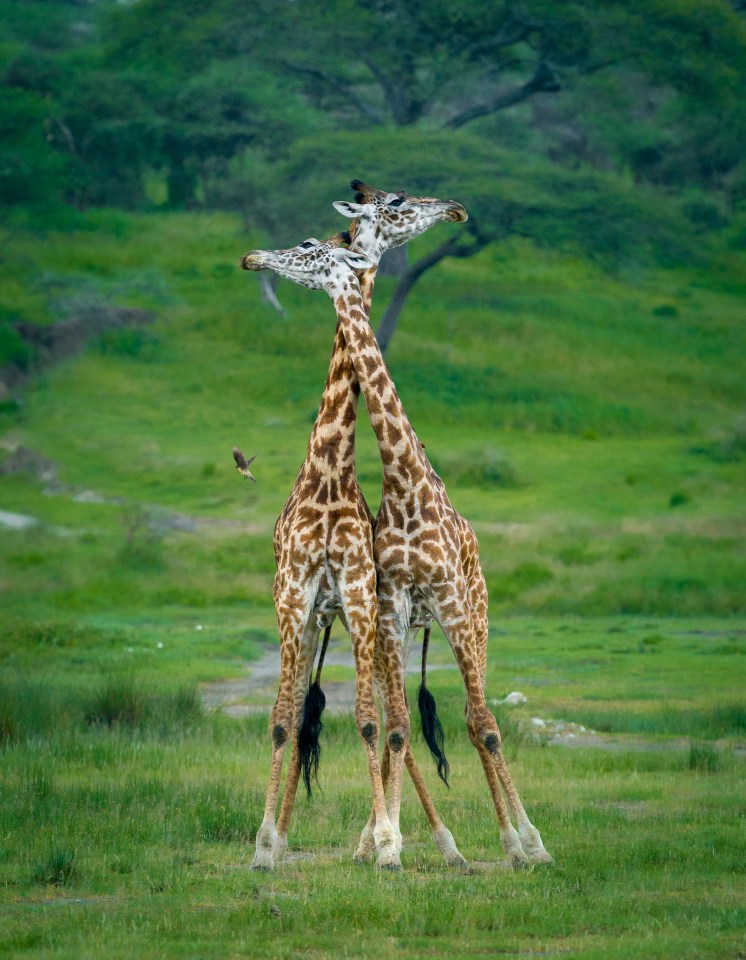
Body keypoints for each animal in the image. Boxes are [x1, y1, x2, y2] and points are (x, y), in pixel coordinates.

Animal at [241, 223, 548, 872]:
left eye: (306, 246)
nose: (252, 257)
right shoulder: (327, 600)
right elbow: (301, 721)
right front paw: (269, 846)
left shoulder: (390, 598)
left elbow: (460, 723)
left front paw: (524, 844)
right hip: (355, 624)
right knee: (352, 718)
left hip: (472, 616)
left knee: (474, 718)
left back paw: (509, 842)